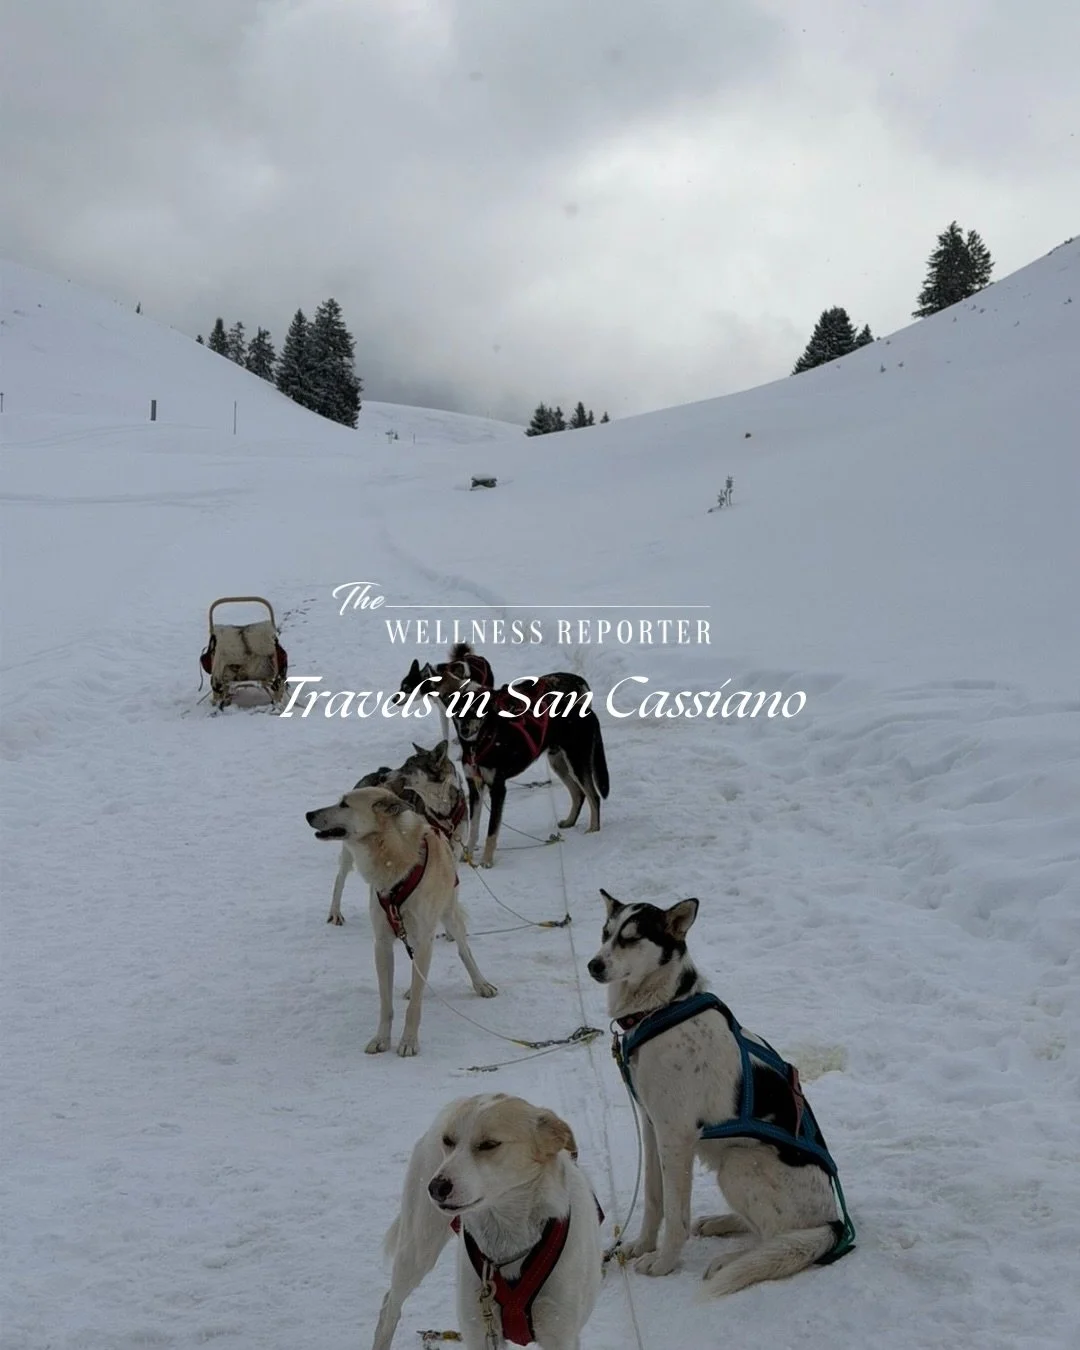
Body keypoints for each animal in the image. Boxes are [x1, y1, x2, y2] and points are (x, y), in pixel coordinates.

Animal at [305, 787, 496, 1056]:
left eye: (344, 804)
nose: (308, 814)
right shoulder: (383, 945)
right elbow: (386, 1003)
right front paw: (381, 1039)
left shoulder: (424, 940)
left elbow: (415, 1004)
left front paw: (408, 1041)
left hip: (448, 916)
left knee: (463, 950)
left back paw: (480, 983)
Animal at [323, 740, 468, 925]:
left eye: (409, 765)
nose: (384, 777)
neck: (443, 814)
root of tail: (377, 772)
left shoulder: (452, 855)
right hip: (349, 852)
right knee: (340, 878)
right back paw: (335, 912)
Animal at [371, 1093, 603, 1350]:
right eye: (448, 1141)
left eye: (489, 1144)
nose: (436, 1187)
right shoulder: (479, 1329)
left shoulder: (560, 1335)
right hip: (416, 1250)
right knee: (389, 1307)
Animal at [434, 671, 609, 867]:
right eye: (458, 712)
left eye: (476, 710)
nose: (464, 730)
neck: (479, 744)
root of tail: (588, 712)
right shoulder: (475, 787)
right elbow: (474, 829)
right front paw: (468, 856)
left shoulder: (498, 788)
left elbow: (492, 830)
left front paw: (486, 861)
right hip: (559, 763)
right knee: (578, 794)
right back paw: (570, 822)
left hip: (577, 762)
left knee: (593, 796)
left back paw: (594, 828)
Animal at [588, 889, 851, 1295]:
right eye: (606, 933)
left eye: (631, 938)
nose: (593, 965)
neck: (662, 1008)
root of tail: (832, 1222)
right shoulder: (653, 1127)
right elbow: (654, 1199)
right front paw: (642, 1245)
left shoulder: (676, 1137)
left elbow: (675, 1215)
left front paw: (664, 1262)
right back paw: (721, 1223)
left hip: (737, 1163)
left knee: (774, 1238)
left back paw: (731, 1260)